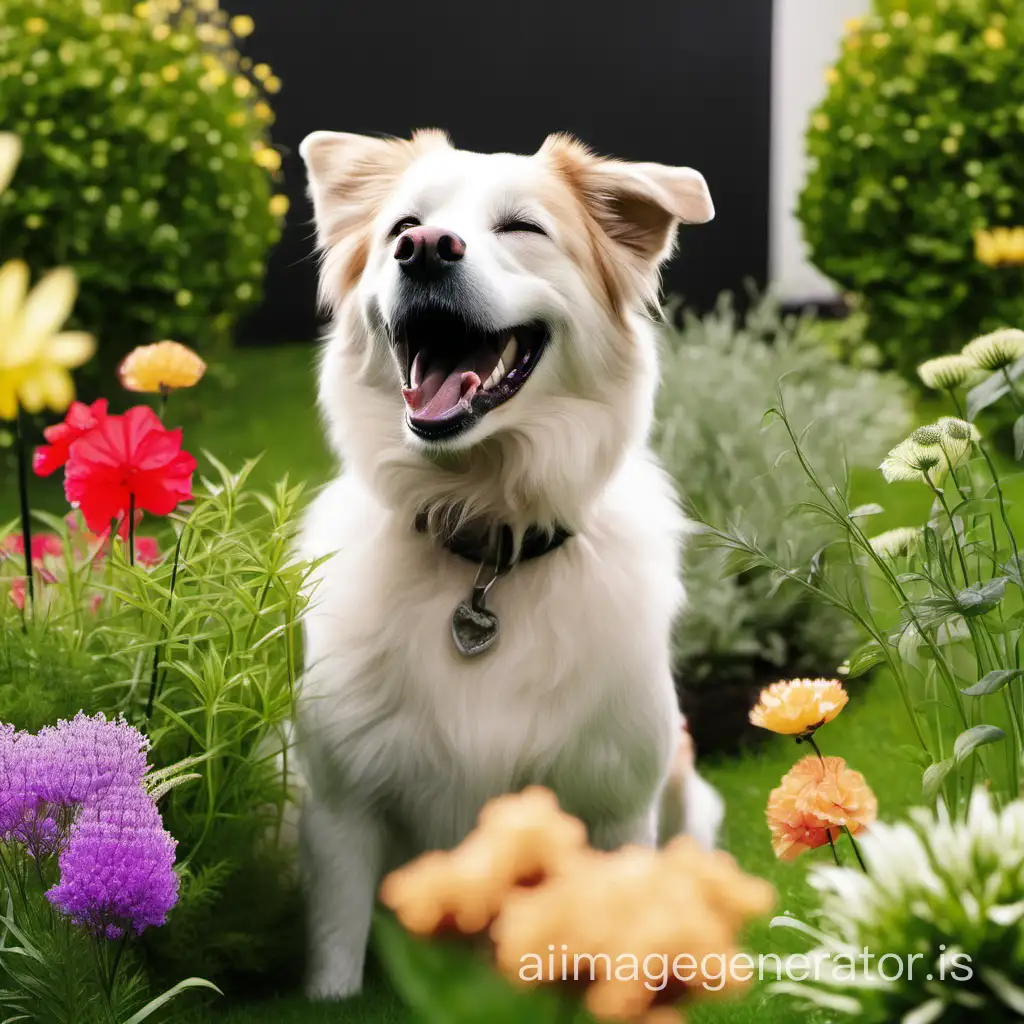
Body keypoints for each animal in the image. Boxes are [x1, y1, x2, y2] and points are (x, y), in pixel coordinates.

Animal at [296, 130, 729, 999]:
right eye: (403, 227)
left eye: (523, 227)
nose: (426, 248)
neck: (485, 542)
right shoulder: (338, 802)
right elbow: (336, 953)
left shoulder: (614, 805)